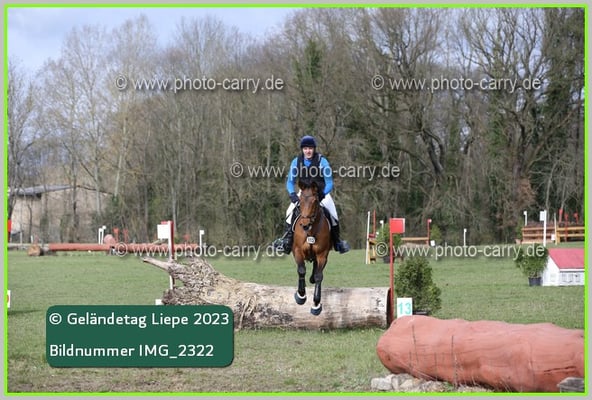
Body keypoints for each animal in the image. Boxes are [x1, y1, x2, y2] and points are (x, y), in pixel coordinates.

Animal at [291, 179, 332, 315]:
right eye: (300, 201)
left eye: (315, 201)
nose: (304, 224)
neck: (310, 231)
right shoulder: (297, 251)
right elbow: (301, 270)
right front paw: (301, 296)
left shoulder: (322, 255)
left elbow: (319, 276)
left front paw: (316, 304)